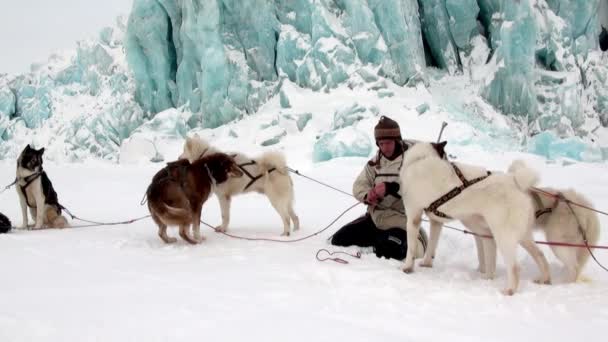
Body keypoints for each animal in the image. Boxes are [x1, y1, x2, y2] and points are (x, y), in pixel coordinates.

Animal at [400, 140, 552, 296]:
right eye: (445, 155)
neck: (420, 159)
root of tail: (515, 181)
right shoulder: (436, 222)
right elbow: (431, 245)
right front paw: (426, 263)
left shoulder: (413, 217)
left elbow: (411, 249)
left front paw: (407, 267)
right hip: (522, 235)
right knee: (540, 255)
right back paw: (544, 279)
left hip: (503, 236)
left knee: (515, 267)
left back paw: (509, 290)